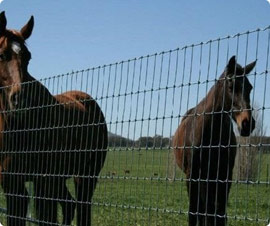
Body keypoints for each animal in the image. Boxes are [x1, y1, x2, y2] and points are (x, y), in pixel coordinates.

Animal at [0, 11, 108, 225]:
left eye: (28, 57)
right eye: (1, 54)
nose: (20, 99)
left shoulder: (41, 182)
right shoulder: (11, 183)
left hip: (84, 177)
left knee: (82, 208)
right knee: (69, 205)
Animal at [174, 55, 256, 226]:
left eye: (250, 87)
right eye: (231, 86)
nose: (247, 124)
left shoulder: (224, 176)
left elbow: (219, 213)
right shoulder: (192, 175)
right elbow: (194, 212)